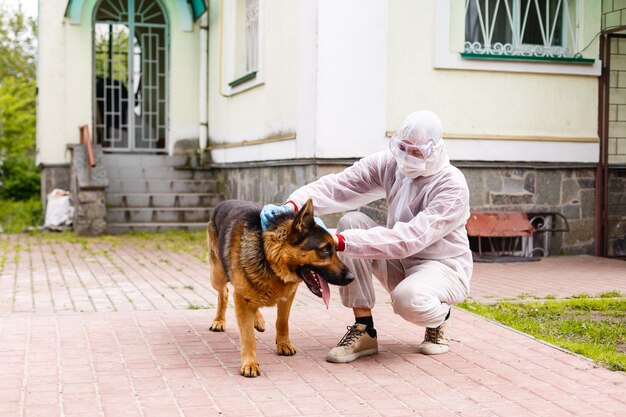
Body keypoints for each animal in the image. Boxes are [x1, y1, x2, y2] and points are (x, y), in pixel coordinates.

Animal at [207, 197, 354, 376]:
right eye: (325, 249)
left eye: (335, 248)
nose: (351, 277)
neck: (270, 259)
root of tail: (224, 201)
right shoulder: (241, 297)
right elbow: (248, 336)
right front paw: (250, 363)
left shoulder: (288, 295)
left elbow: (282, 322)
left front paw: (283, 343)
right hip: (217, 276)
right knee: (224, 292)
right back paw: (219, 320)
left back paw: (257, 319)